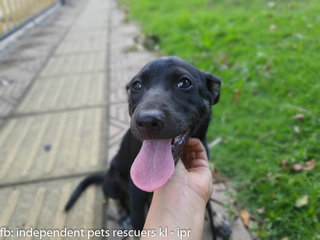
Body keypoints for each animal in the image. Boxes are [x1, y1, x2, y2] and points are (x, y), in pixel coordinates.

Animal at [65, 56, 220, 236]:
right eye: (137, 85)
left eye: (184, 83)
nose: (147, 121)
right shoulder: (137, 193)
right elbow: (139, 223)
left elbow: (209, 204)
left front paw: (218, 223)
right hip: (112, 184)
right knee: (118, 201)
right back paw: (123, 216)